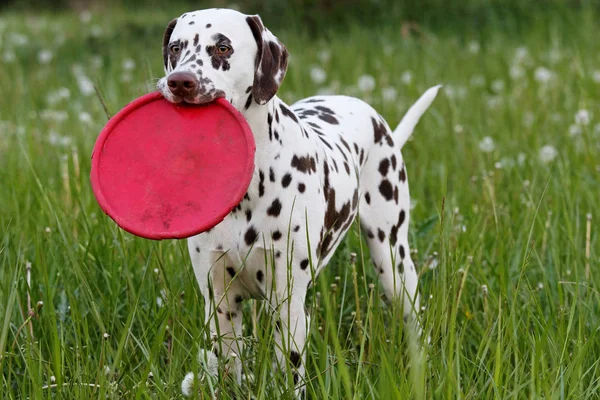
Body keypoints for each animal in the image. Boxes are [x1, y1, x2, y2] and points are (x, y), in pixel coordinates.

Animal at [157, 7, 440, 396]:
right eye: (176, 47)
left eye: (223, 47)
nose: (179, 82)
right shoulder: (220, 304)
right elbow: (228, 366)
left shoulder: (288, 304)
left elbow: (290, 372)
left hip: (393, 261)